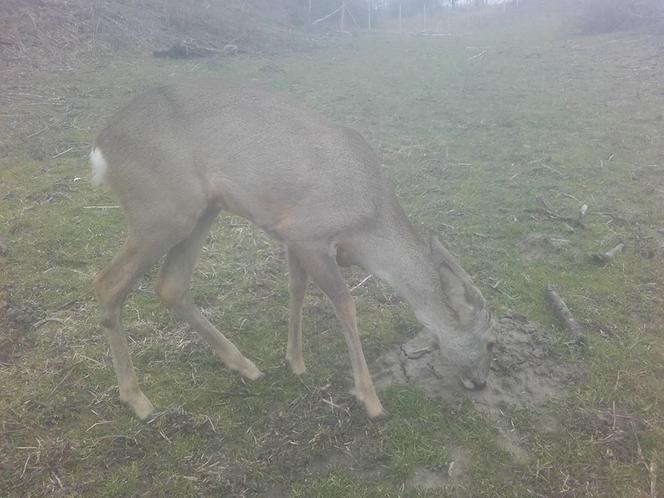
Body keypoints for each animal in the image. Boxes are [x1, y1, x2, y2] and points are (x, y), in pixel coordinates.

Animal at [91, 79, 496, 420]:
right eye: (490, 341)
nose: (481, 382)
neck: (370, 227)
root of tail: (100, 147)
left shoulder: (291, 236)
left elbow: (297, 290)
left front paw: (295, 361)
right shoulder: (308, 233)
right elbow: (346, 305)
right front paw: (370, 399)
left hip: (203, 209)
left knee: (171, 285)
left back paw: (245, 365)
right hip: (160, 211)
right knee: (108, 283)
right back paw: (138, 400)